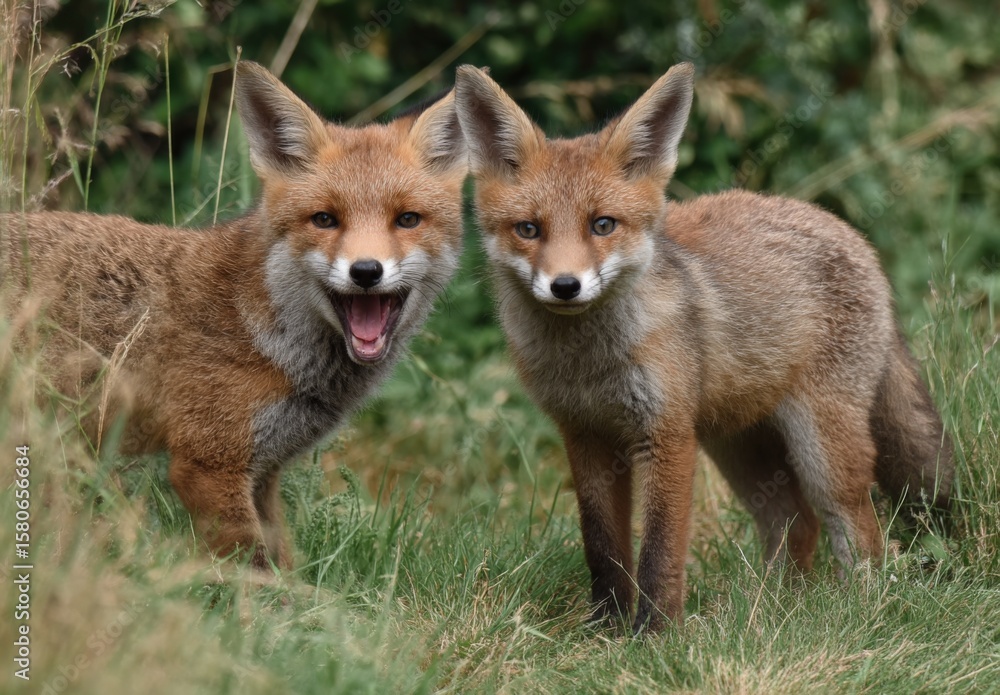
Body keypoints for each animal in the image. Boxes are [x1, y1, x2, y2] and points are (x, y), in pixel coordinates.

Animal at [1, 61, 467, 570]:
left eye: (407, 219)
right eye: (325, 219)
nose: (366, 271)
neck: (260, 327)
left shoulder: (263, 470)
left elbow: (283, 560)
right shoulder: (206, 463)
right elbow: (254, 567)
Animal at [453, 63, 953, 633]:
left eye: (602, 225)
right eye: (528, 229)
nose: (565, 286)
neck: (589, 364)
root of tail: (851, 234)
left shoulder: (666, 434)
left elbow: (660, 551)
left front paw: (654, 634)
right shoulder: (584, 435)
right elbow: (603, 548)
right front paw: (604, 630)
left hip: (822, 447)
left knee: (860, 530)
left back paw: (858, 611)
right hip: (739, 446)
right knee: (795, 523)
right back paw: (768, 611)